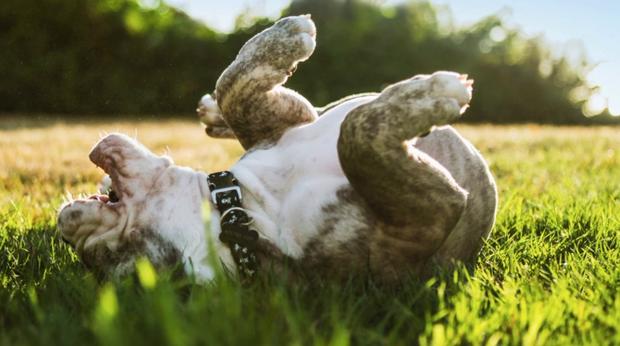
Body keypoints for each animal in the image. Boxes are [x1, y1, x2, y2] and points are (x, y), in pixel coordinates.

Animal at [57, 15, 494, 284]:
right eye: (102, 254)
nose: (65, 225)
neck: (239, 210)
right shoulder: (418, 223)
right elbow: (355, 137)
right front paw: (432, 96)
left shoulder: (280, 124)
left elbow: (233, 85)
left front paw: (282, 36)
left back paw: (213, 114)